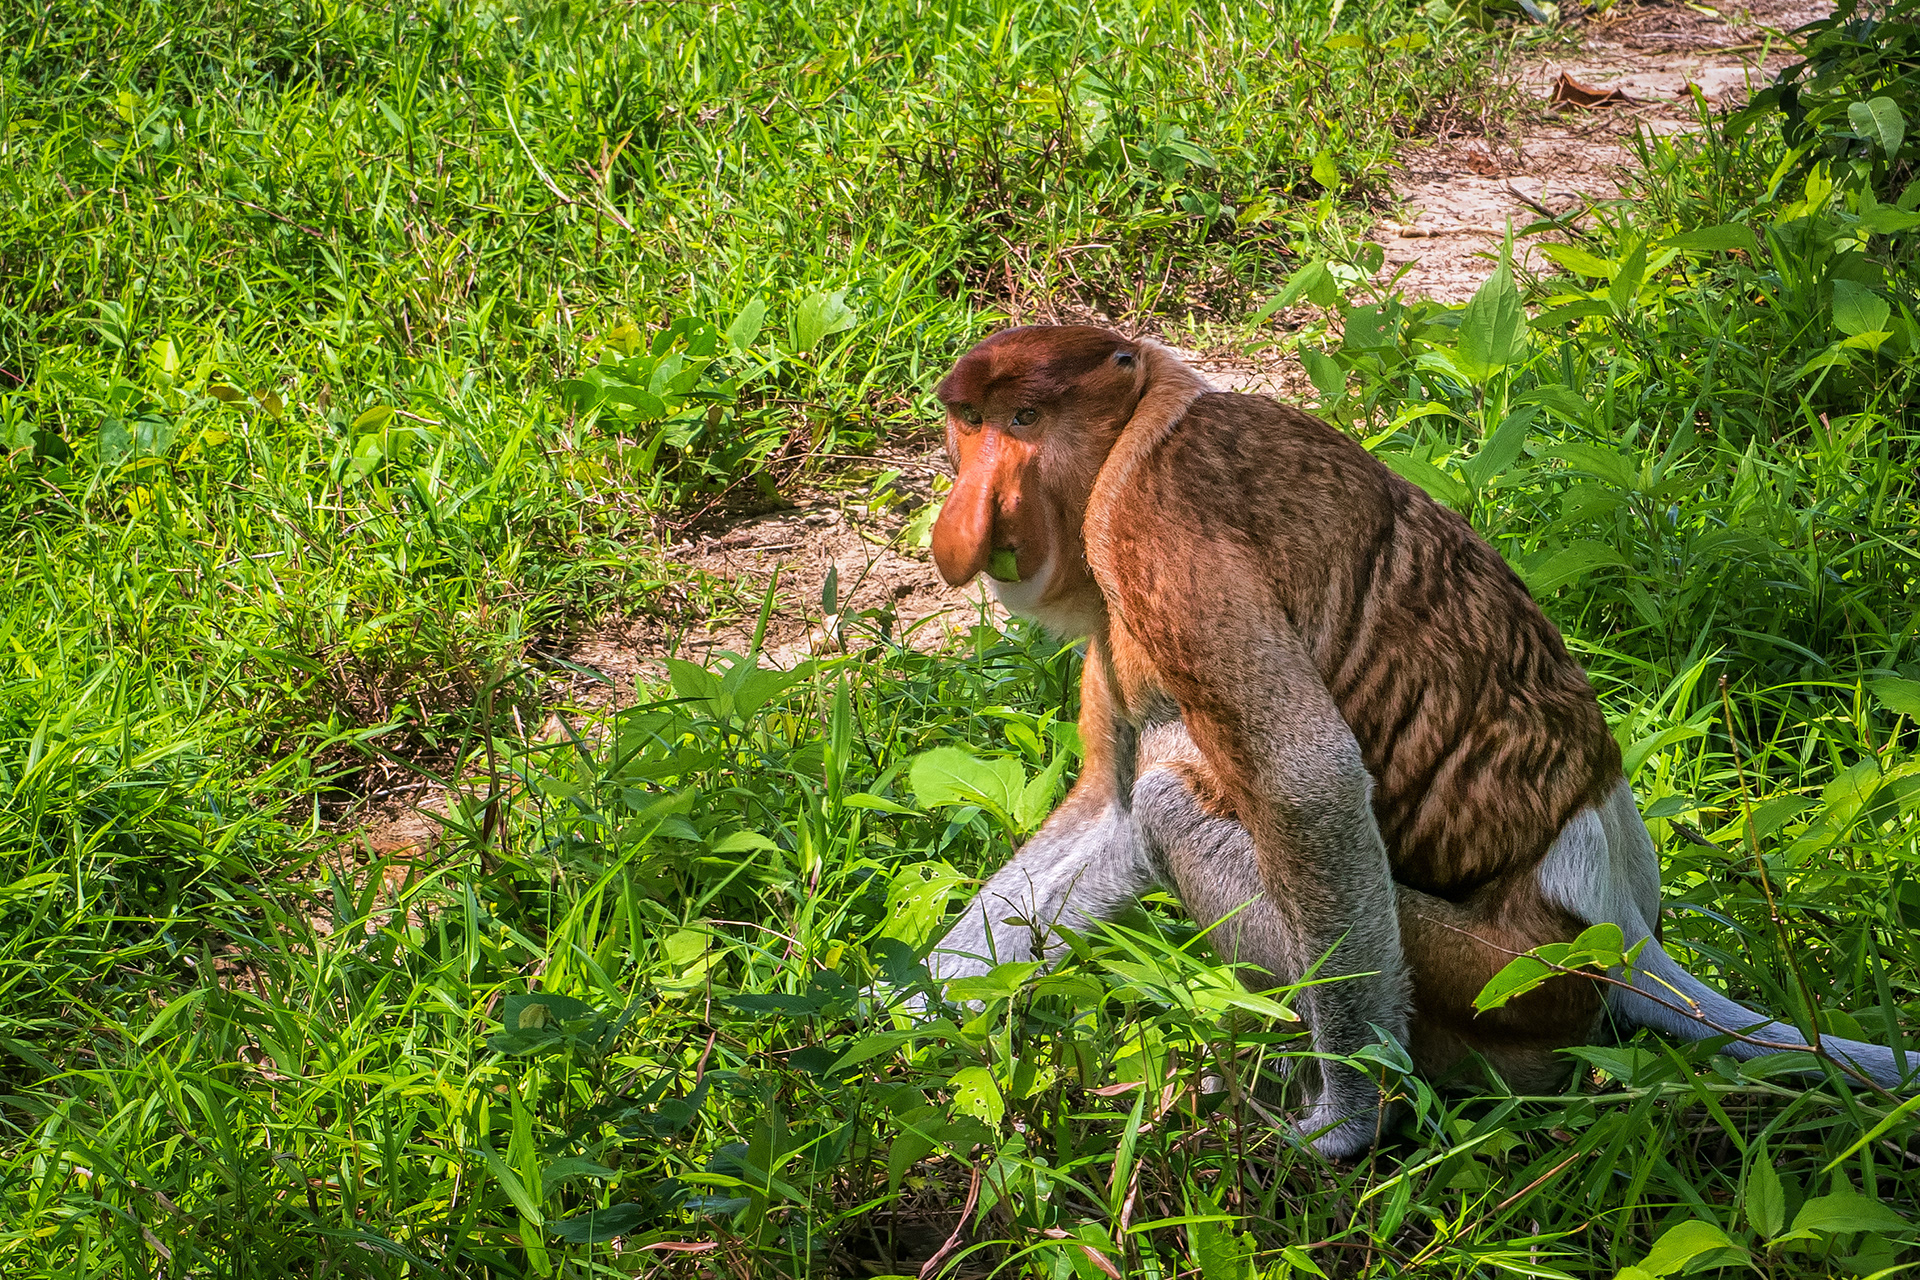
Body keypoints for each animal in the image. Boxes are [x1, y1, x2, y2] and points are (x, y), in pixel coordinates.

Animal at [921, 324, 1913, 1159]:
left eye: (1024, 421)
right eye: (969, 423)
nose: (968, 514)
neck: (1143, 418)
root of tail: (1625, 925)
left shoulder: (1155, 522)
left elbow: (1305, 784)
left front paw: (1346, 1123)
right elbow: (1110, 804)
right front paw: (901, 1012)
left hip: (1509, 977)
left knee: (1183, 806)